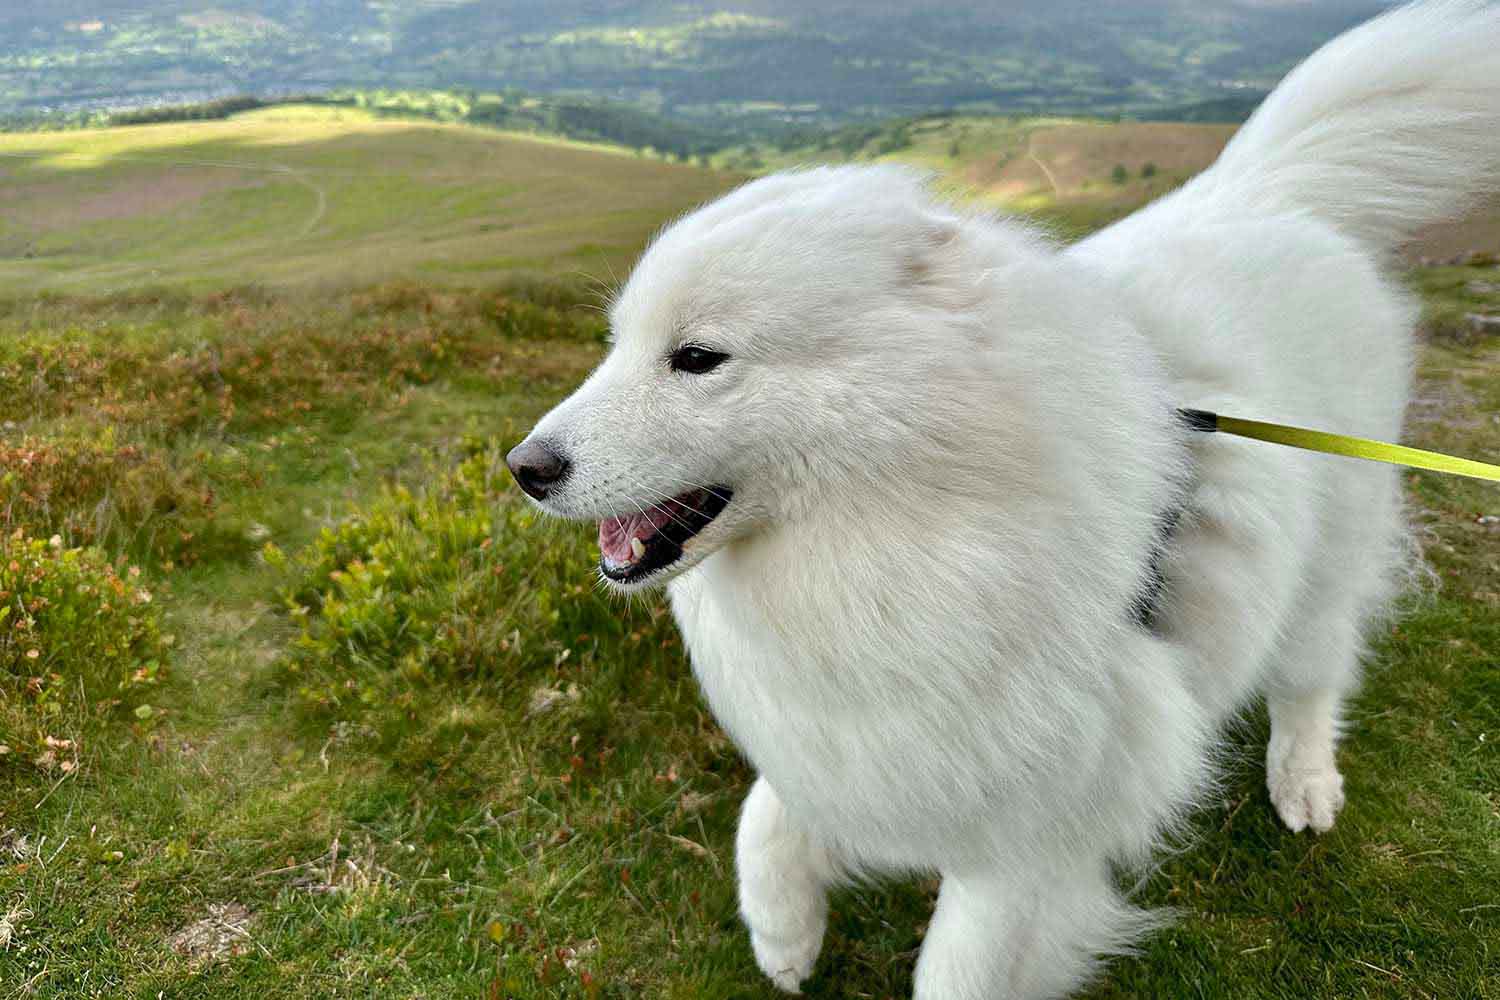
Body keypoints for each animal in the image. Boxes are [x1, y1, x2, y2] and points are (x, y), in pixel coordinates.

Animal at [507, 3, 1500, 995]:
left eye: (698, 357)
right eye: (617, 344)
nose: (525, 465)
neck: (909, 522)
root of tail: (1266, 193)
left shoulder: (1031, 839)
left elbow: (958, 971)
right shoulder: (861, 751)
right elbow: (767, 816)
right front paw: (784, 936)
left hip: (1324, 567)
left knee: (1312, 679)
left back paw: (1303, 781)